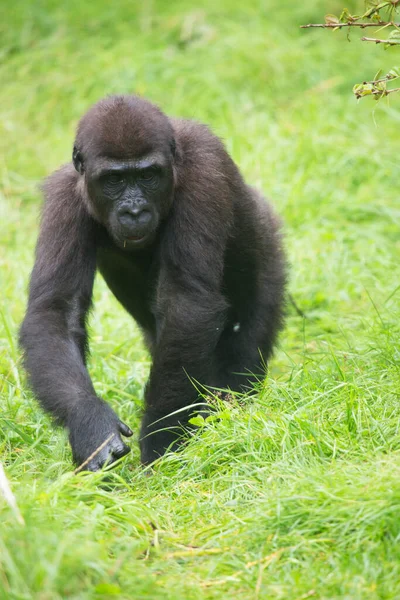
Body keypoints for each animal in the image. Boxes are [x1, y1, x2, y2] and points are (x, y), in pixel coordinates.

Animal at [19, 95, 288, 468]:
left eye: (148, 175)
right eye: (114, 180)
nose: (134, 211)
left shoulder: (203, 173)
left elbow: (187, 303)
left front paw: (163, 441)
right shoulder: (65, 198)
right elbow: (55, 311)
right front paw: (89, 420)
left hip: (271, 251)